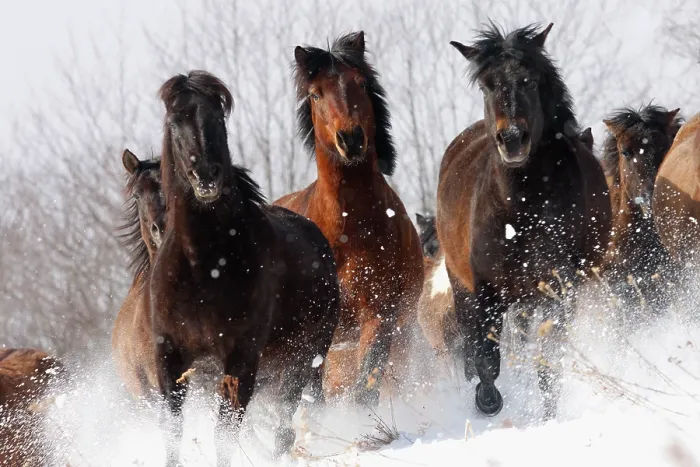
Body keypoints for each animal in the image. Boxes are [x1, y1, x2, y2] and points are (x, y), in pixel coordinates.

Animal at [150, 70, 339, 465]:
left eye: (218, 119)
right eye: (175, 120)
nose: (205, 174)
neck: (203, 266)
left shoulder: (241, 358)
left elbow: (224, 435)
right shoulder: (170, 356)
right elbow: (173, 431)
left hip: (302, 359)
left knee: (285, 421)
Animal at [273, 31, 424, 405]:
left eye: (361, 83)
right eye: (316, 93)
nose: (351, 138)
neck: (347, 231)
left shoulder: (379, 318)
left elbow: (366, 388)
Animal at [438, 23, 611, 418]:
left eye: (530, 81)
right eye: (486, 85)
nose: (513, 138)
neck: (520, 211)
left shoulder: (558, 286)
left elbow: (549, 356)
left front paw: (548, 413)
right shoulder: (483, 289)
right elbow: (486, 358)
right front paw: (488, 402)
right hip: (459, 284)